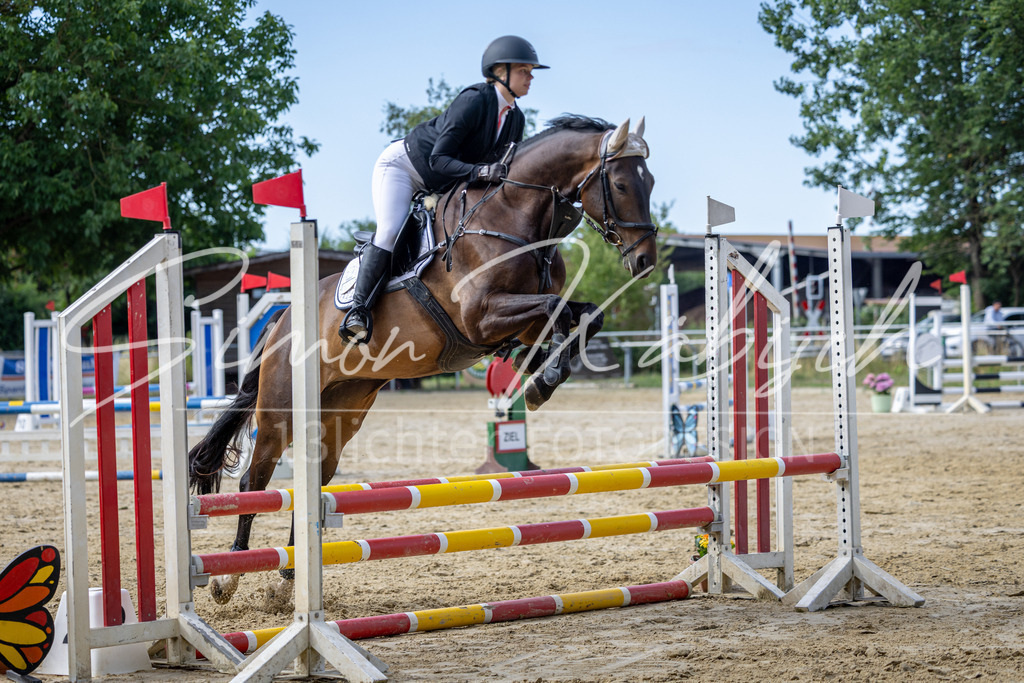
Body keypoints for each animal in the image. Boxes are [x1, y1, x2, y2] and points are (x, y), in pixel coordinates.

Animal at [188, 115, 659, 604]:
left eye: (651, 182)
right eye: (621, 184)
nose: (645, 260)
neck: (514, 218)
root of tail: (281, 320)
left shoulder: (522, 321)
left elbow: (583, 315)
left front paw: (541, 376)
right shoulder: (481, 317)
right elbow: (557, 309)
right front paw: (542, 377)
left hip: (340, 411)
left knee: (312, 482)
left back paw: (288, 578)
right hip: (281, 409)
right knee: (254, 481)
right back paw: (227, 578)